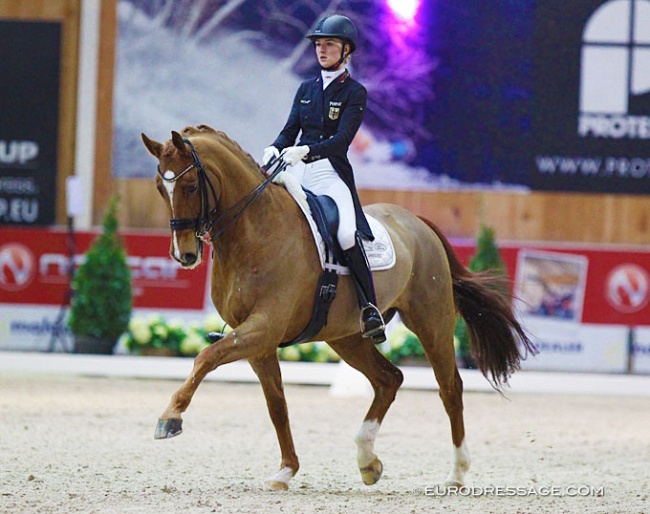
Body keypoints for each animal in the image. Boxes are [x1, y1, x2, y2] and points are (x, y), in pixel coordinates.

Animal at [140, 123, 532, 488]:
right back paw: (367, 460)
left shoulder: (264, 327)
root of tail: (417, 222)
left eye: (191, 186)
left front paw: (169, 418)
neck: (255, 232)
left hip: (431, 320)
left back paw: (456, 473)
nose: (184, 255)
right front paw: (286, 470)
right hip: (346, 336)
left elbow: (206, 358)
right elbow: (276, 403)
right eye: (160, 187)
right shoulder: (259, 340)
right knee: (389, 379)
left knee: (450, 387)